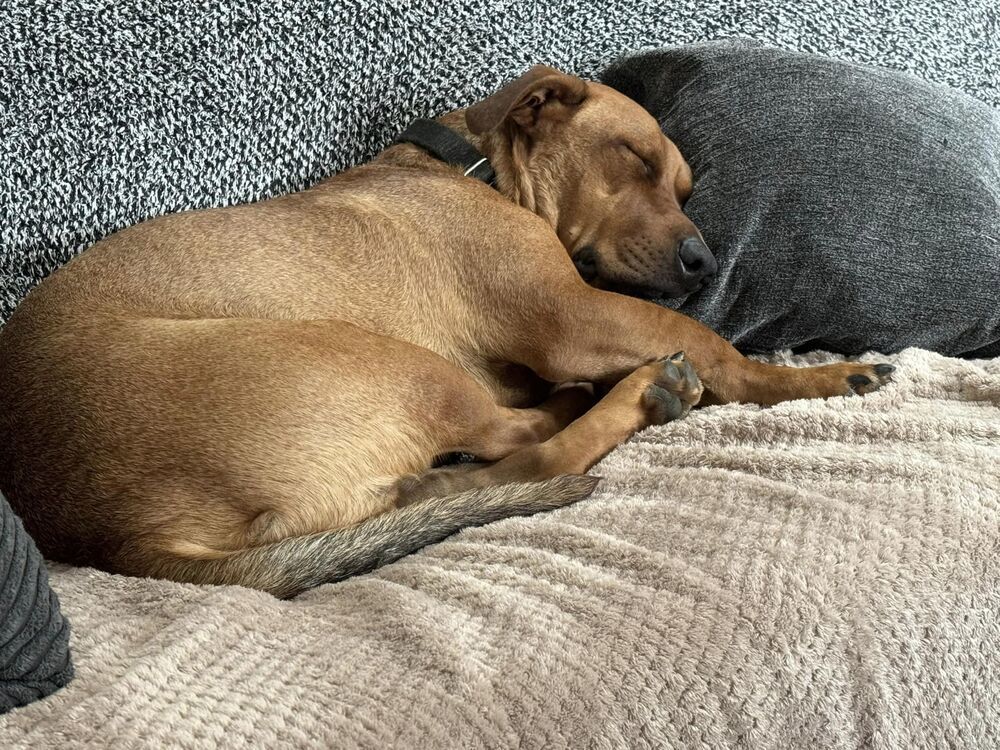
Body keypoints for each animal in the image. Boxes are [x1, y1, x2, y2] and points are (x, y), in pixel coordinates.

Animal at [0, 66, 896, 600]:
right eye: (635, 158)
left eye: (681, 188)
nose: (703, 261)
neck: (483, 172)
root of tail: (116, 538)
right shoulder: (573, 317)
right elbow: (706, 341)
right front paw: (809, 379)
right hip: (393, 362)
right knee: (533, 449)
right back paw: (637, 392)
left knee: (468, 476)